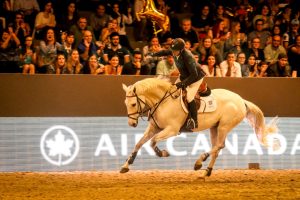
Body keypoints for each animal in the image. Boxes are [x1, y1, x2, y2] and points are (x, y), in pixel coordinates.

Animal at [120, 77, 278, 177]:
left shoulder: (172, 130)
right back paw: (206, 172)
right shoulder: (154, 128)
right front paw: (126, 165)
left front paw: (163, 153)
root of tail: (240, 100)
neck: (163, 101)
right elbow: (139, 143)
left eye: (133, 104)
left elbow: (152, 142)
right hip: (215, 127)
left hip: (224, 127)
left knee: (219, 146)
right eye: (125, 103)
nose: (131, 124)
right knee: (217, 148)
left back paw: (199, 162)